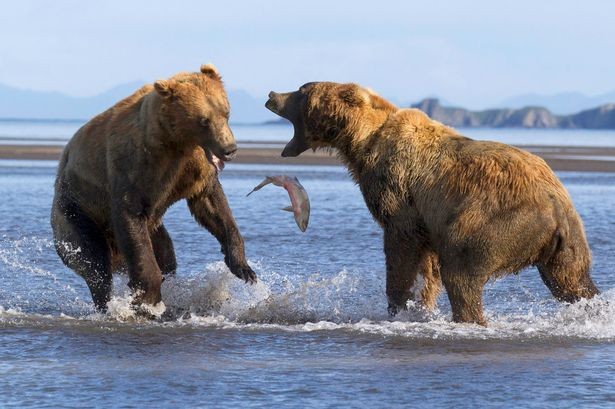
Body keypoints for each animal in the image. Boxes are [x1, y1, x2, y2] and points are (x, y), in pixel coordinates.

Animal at [49, 64, 258, 312]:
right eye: (203, 120)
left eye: (226, 112)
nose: (230, 149)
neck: (176, 142)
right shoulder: (136, 167)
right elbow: (130, 216)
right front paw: (147, 297)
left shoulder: (192, 168)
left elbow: (212, 205)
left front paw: (244, 268)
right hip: (77, 211)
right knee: (94, 262)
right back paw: (107, 303)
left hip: (154, 228)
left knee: (166, 253)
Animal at [268, 82, 600, 326]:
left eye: (301, 90)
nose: (272, 95)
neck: (361, 141)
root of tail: (556, 206)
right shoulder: (426, 220)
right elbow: (426, 267)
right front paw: (420, 306)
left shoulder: (398, 190)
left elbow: (401, 247)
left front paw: (398, 305)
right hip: (568, 243)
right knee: (571, 282)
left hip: (494, 221)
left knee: (461, 272)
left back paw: (468, 317)